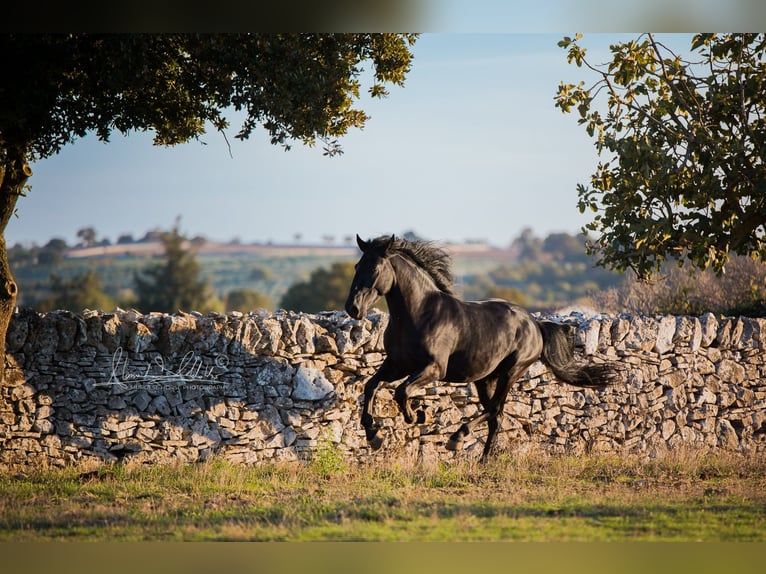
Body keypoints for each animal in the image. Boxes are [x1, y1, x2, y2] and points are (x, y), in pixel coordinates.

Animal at [344, 234, 619, 459]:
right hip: (485, 379)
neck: (418, 314)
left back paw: (458, 438)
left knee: (495, 410)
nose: (352, 308)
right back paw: (483, 459)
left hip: (511, 372)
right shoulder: (397, 364)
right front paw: (374, 435)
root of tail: (534, 323)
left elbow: (401, 392)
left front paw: (416, 416)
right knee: (495, 416)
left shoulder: (433, 369)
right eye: (357, 266)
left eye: (375, 268)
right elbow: (371, 386)